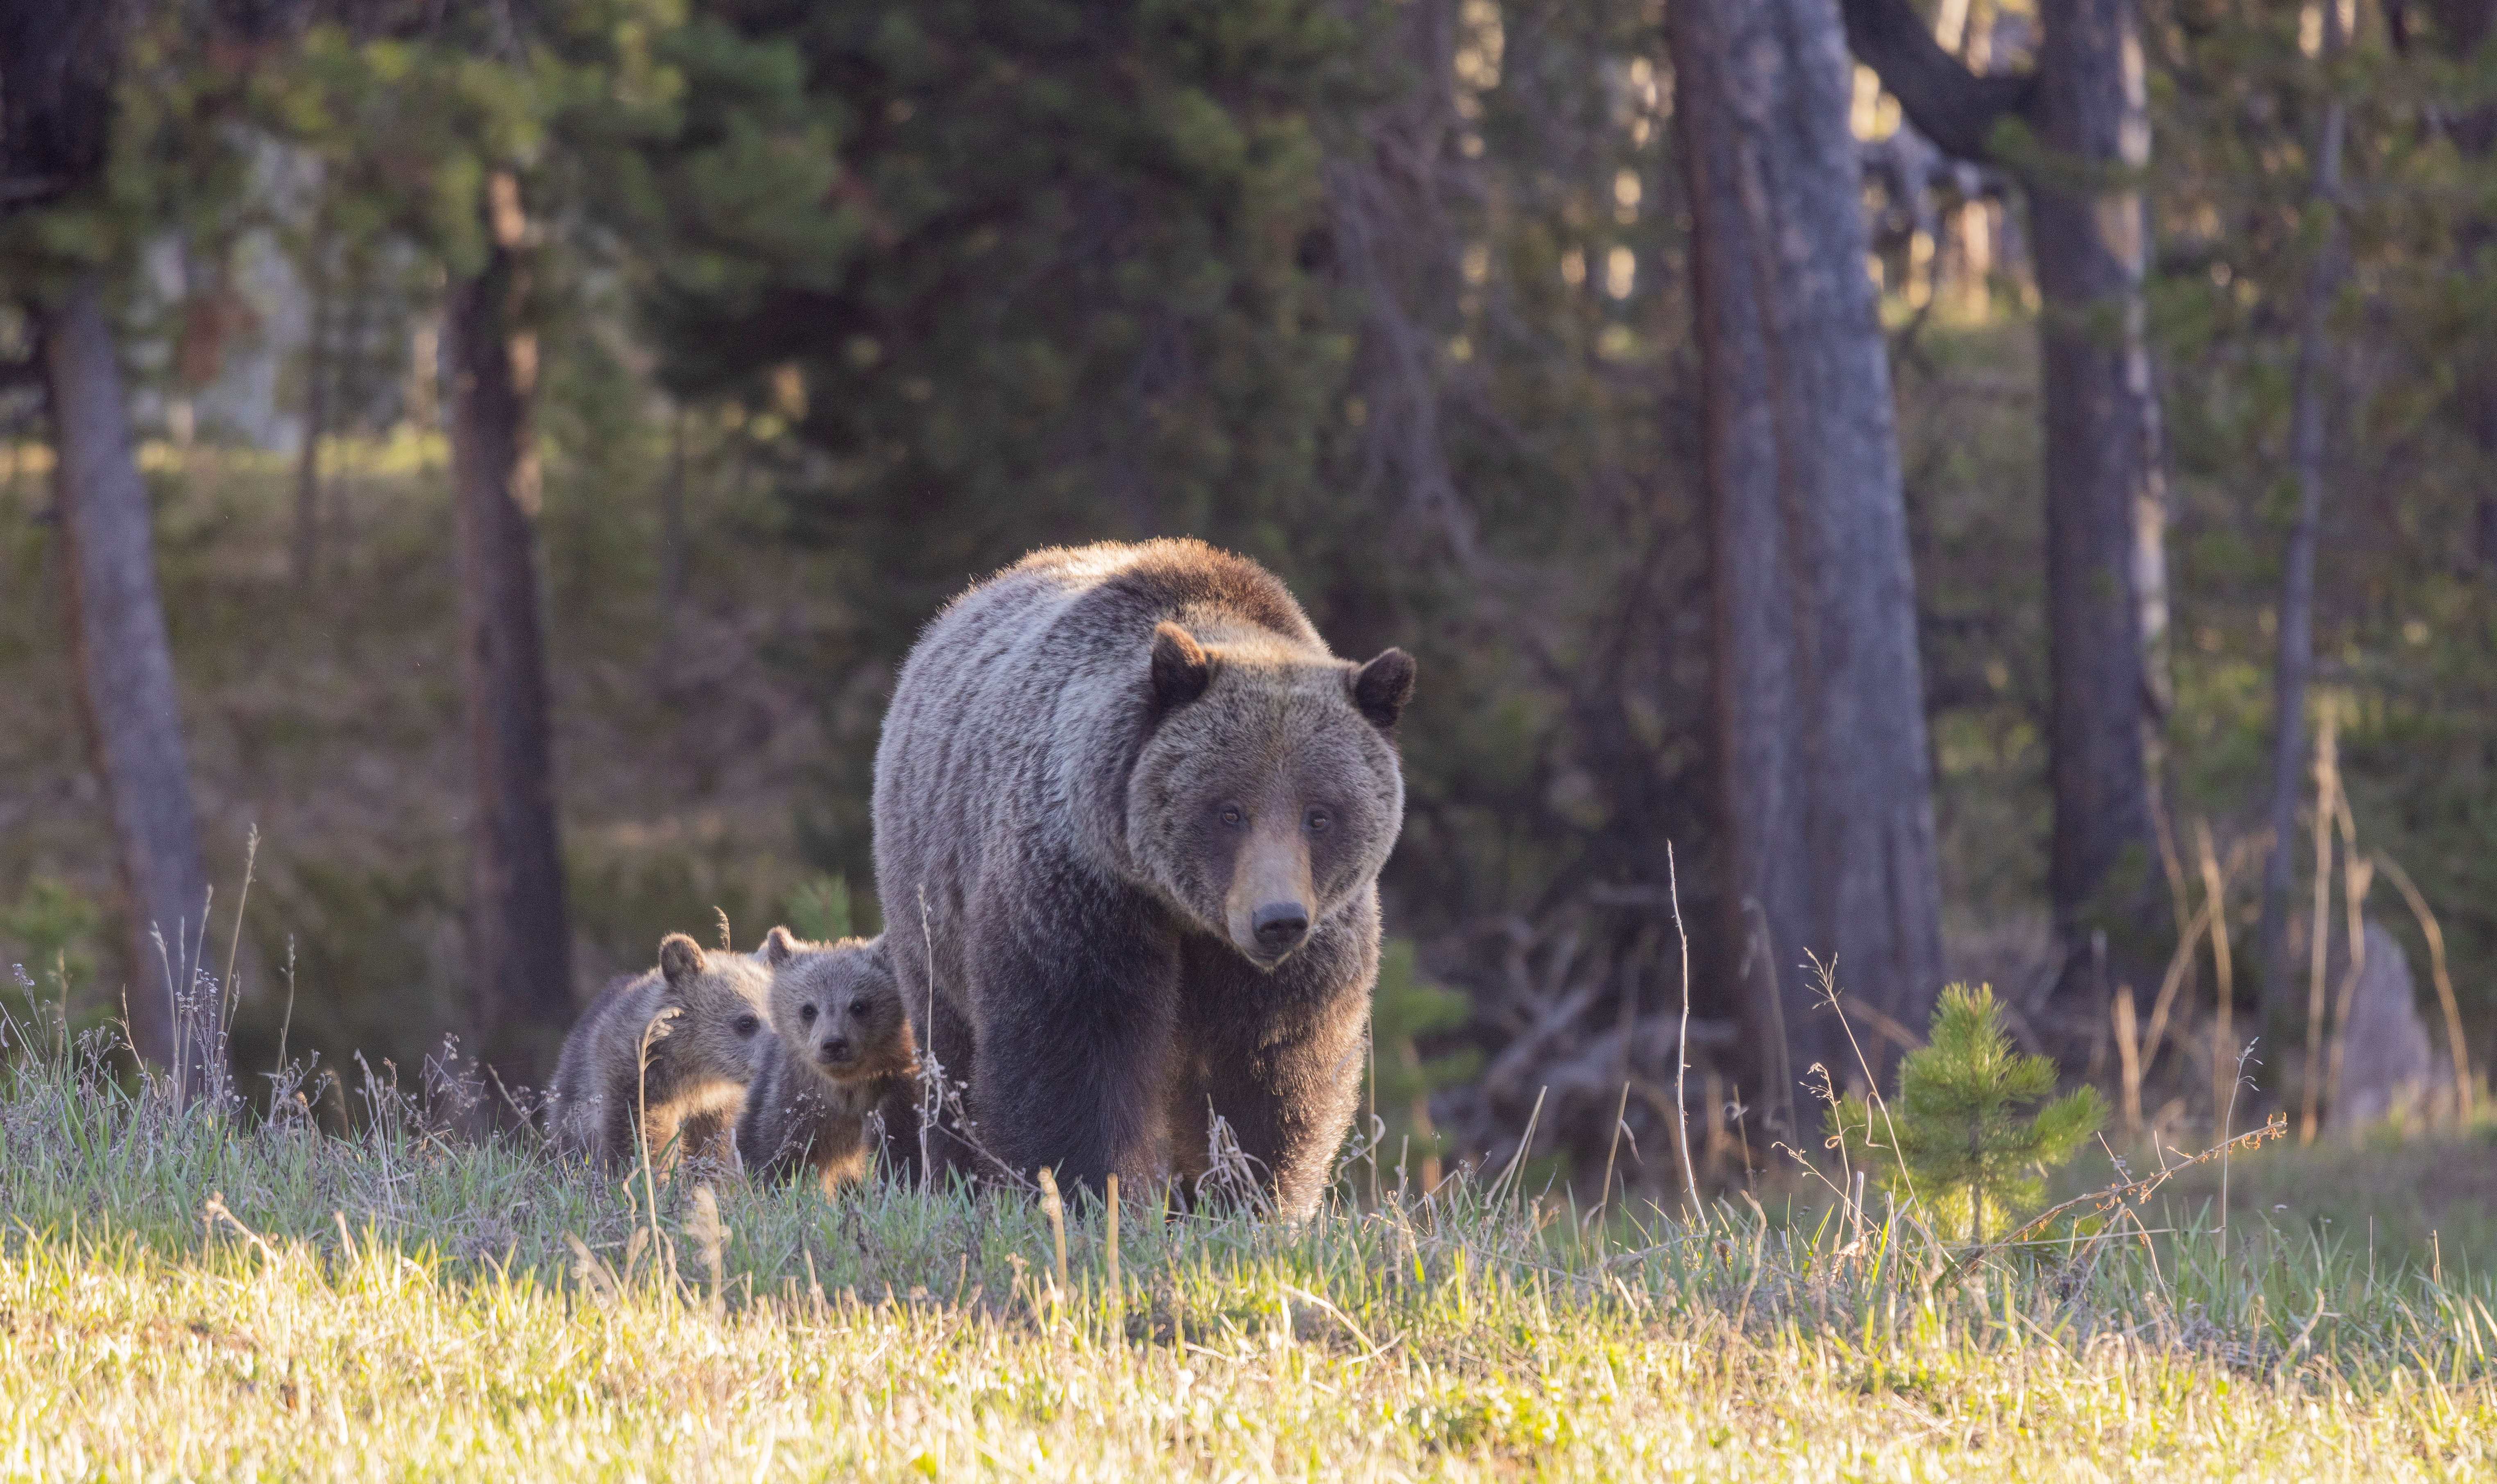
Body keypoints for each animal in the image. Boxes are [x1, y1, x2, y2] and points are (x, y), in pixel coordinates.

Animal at [736, 927, 920, 1192]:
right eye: (808, 1009)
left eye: (859, 1006)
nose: (834, 1043)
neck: (845, 1089)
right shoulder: (793, 1102)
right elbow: (775, 1158)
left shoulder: (895, 1093)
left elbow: (901, 1154)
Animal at [871, 538, 1414, 1218]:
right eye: (1229, 810)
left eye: (1321, 814)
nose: (1277, 920)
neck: (1183, 911)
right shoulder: (1085, 896)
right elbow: (1073, 1054)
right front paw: (1089, 1194)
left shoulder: (1303, 959)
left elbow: (1274, 1075)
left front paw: (1249, 1197)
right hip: (930, 897)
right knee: (951, 1057)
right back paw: (957, 1178)